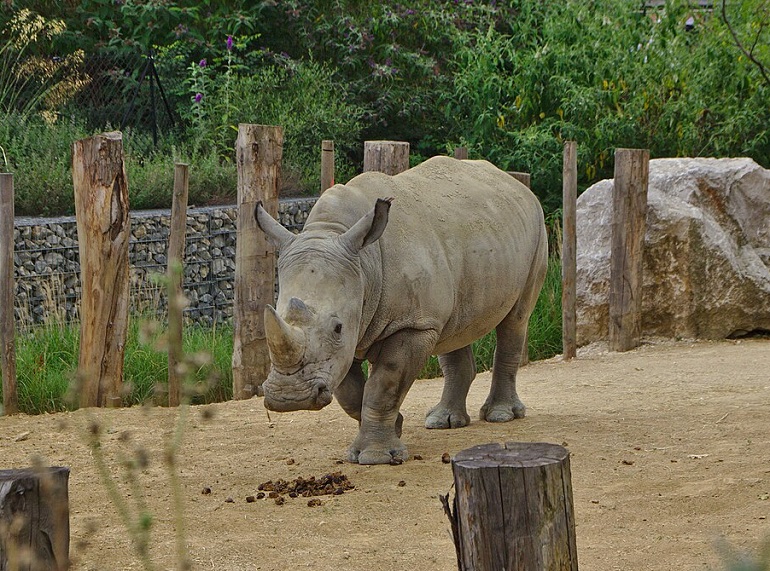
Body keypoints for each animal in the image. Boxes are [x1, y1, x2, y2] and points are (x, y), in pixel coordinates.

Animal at [254, 156, 548, 465]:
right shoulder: (356, 332)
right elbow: (351, 392)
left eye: (337, 327)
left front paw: (377, 457)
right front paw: (395, 427)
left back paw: (500, 416)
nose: (289, 398)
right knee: (453, 329)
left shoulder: (411, 325)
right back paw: (443, 422)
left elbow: (384, 385)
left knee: (515, 320)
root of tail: (516, 184)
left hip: (535, 228)